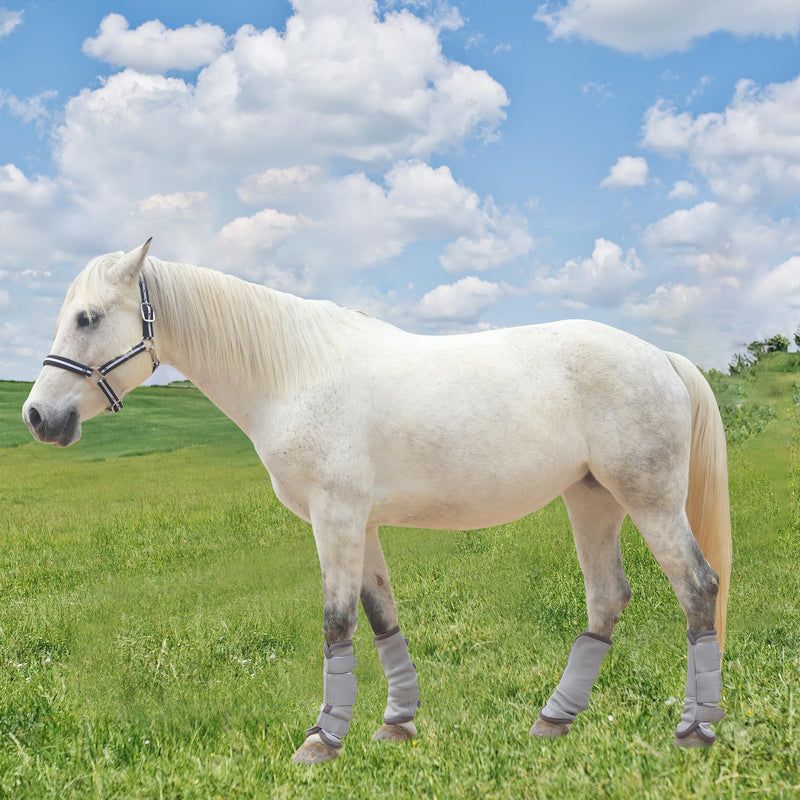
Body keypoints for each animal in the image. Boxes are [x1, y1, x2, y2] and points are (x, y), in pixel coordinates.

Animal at [22, 240, 731, 762]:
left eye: (88, 317)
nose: (38, 417)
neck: (293, 373)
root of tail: (661, 357)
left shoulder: (335, 518)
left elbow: (336, 621)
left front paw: (323, 740)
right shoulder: (359, 525)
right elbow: (380, 615)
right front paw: (397, 724)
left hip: (649, 501)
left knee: (698, 586)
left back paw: (694, 730)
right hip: (592, 502)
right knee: (608, 598)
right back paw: (554, 720)